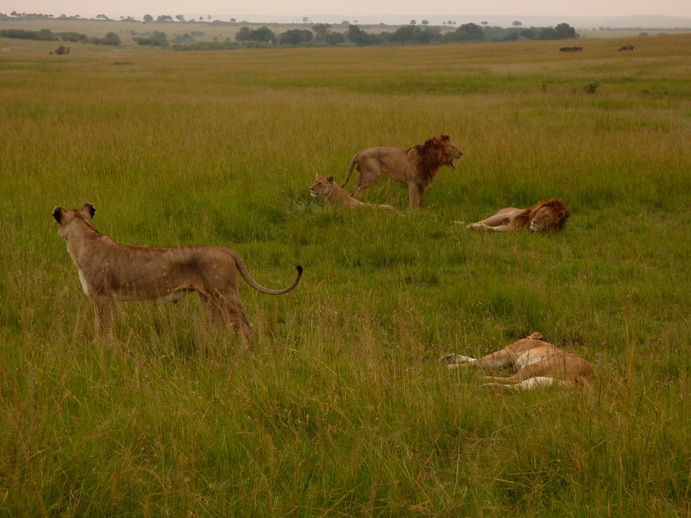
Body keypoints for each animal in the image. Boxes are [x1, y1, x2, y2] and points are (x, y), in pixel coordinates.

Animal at [52, 205, 302, 348]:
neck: (85, 238)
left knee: (246, 327)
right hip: (209, 298)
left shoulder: (102, 296)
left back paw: (244, 353)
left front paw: (102, 349)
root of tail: (226, 249)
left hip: (226, 294)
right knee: (221, 327)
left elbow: (102, 327)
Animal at [440, 336, 592, 392]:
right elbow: (475, 360)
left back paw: (478, 380)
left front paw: (451, 365)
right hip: (543, 380)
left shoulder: (504, 355)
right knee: (517, 386)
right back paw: (485, 386)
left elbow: (478, 361)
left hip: (535, 367)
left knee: (513, 380)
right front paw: (448, 358)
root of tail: (589, 375)